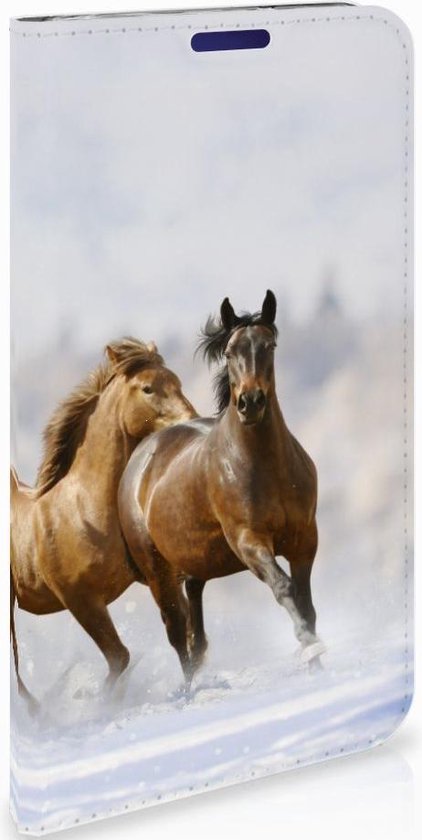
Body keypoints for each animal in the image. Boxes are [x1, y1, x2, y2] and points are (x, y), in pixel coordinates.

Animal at [10, 338, 196, 708]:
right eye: (147, 388)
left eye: (177, 381)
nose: (191, 420)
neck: (83, 510)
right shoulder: (81, 600)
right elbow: (119, 658)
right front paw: (91, 702)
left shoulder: (159, 576)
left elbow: (178, 630)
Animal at [118, 291, 326, 689]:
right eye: (229, 352)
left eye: (269, 345)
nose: (250, 403)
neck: (265, 467)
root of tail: (138, 460)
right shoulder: (249, 541)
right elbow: (284, 588)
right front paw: (309, 648)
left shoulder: (304, 538)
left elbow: (306, 601)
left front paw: (318, 662)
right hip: (158, 573)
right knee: (176, 629)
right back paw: (188, 689)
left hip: (194, 563)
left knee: (194, 624)